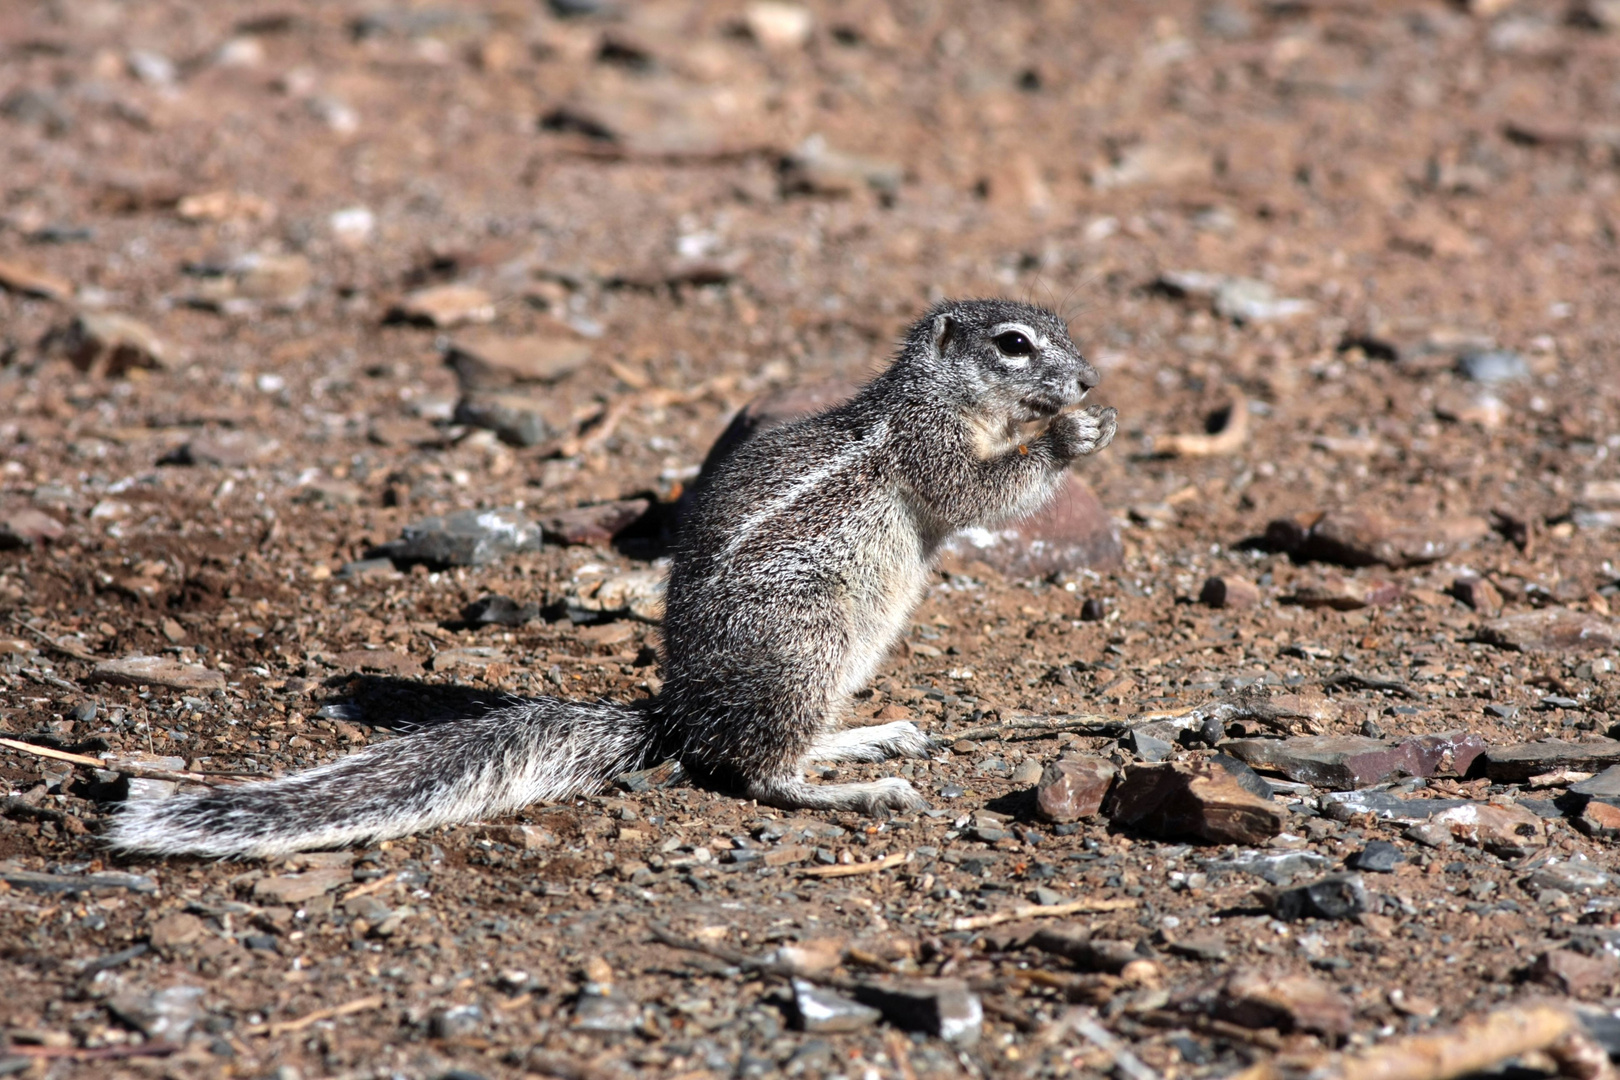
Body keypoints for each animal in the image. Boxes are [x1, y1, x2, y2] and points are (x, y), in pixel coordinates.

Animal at [110, 299, 1114, 854]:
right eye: (1015, 344)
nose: (1089, 382)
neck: (933, 394)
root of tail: (677, 711)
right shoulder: (929, 448)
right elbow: (981, 493)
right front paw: (1070, 438)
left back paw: (871, 737)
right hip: (805, 645)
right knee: (752, 772)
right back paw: (855, 789)